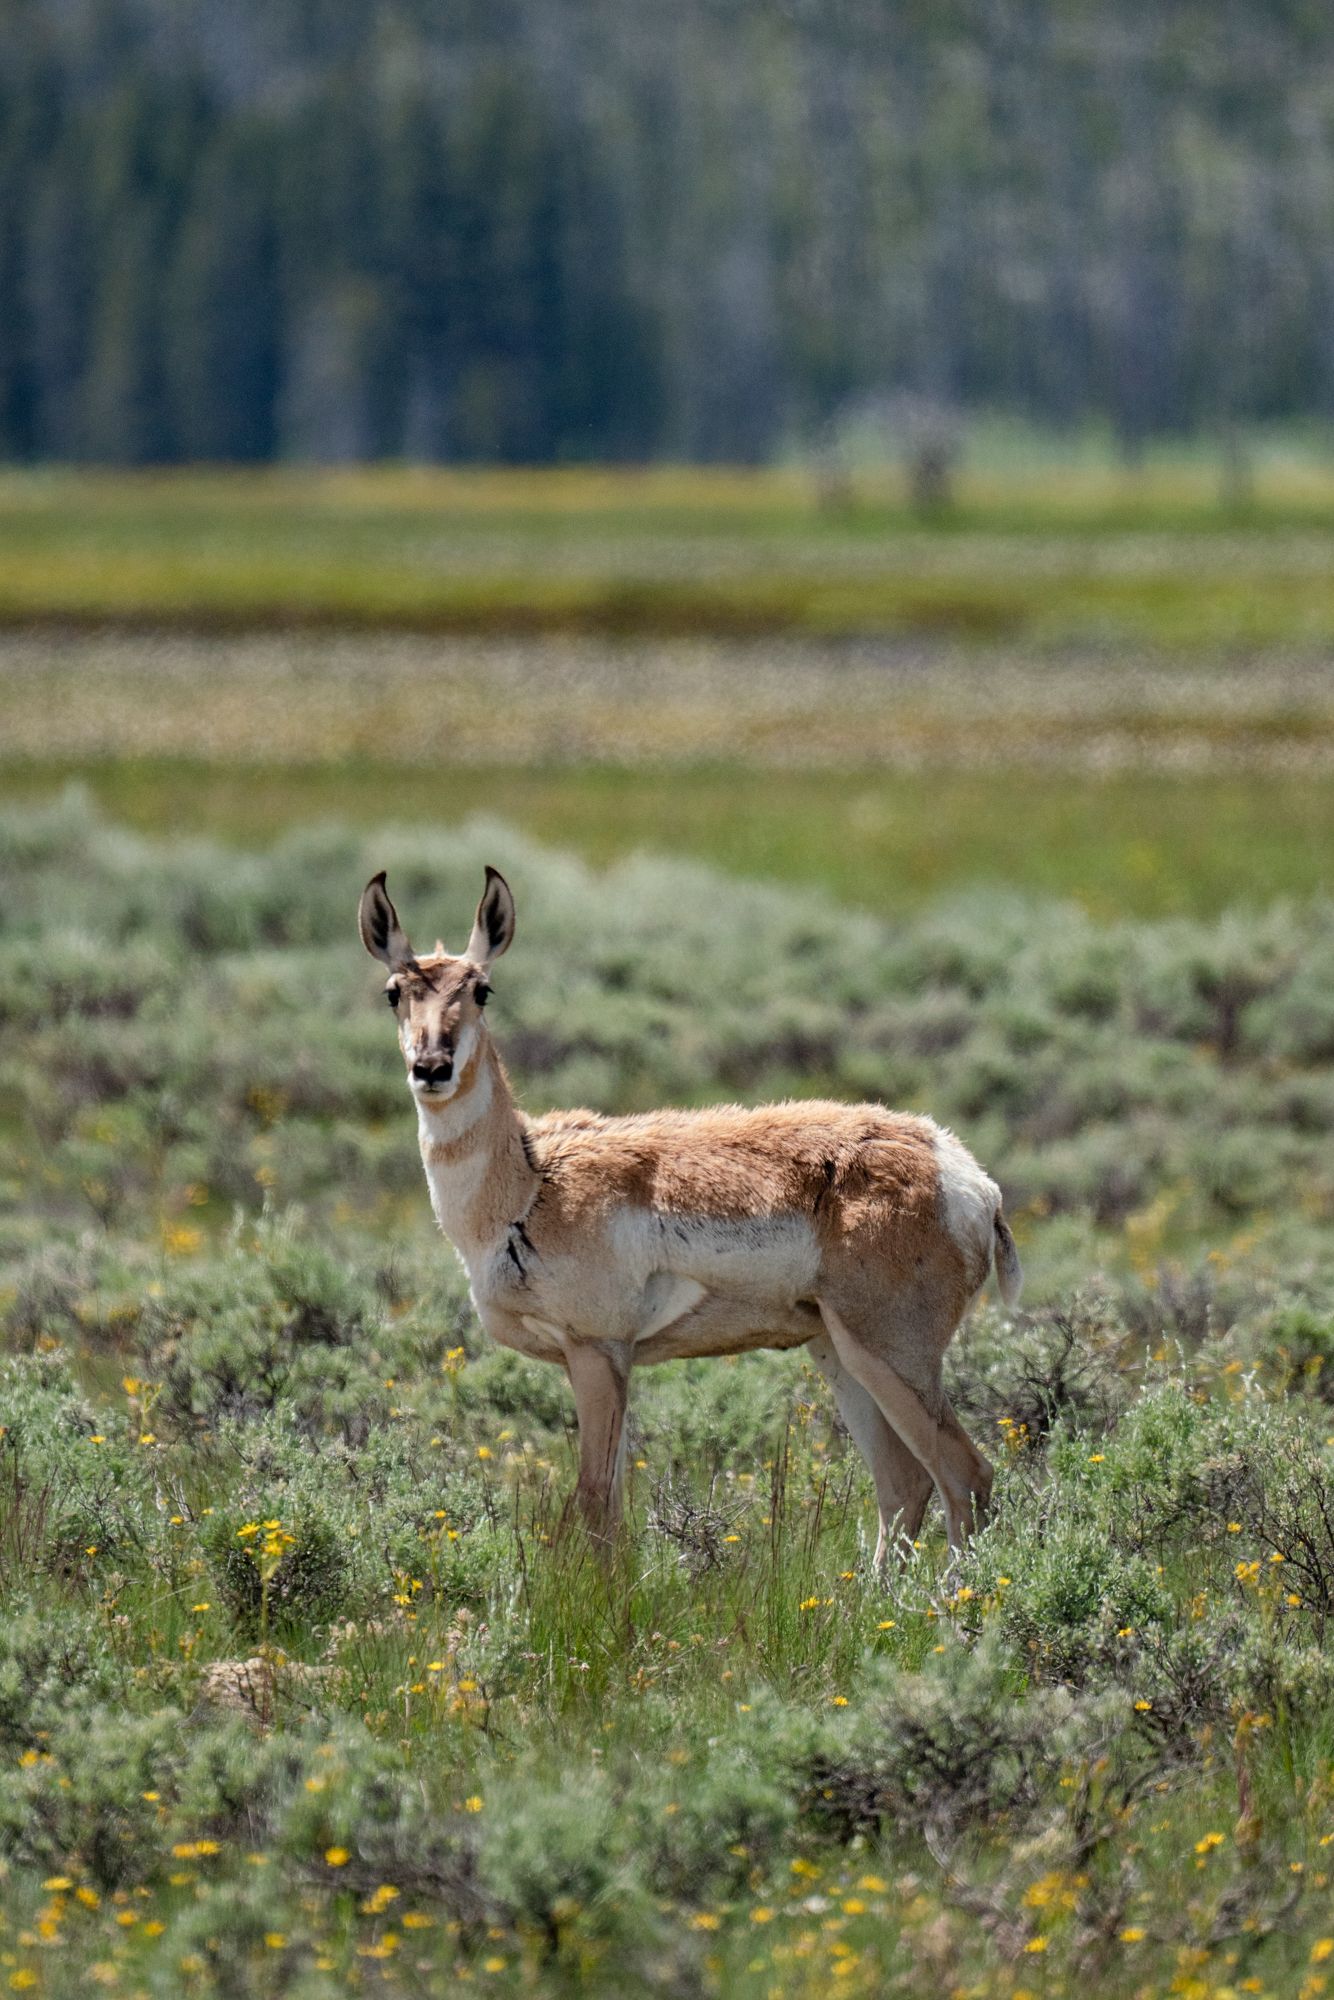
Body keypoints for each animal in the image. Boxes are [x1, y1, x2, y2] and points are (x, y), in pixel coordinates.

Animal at [358, 865, 1023, 1563]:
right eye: (394, 992)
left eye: (482, 990)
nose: (431, 1068)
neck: (532, 1177)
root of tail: (965, 1173)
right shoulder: (612, 1364)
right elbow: (610, 1506)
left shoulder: (596, 1352)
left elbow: (592, 1503)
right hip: (838, 1353)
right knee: (902, 1484)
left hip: (890, 1354)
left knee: (964, 1475)